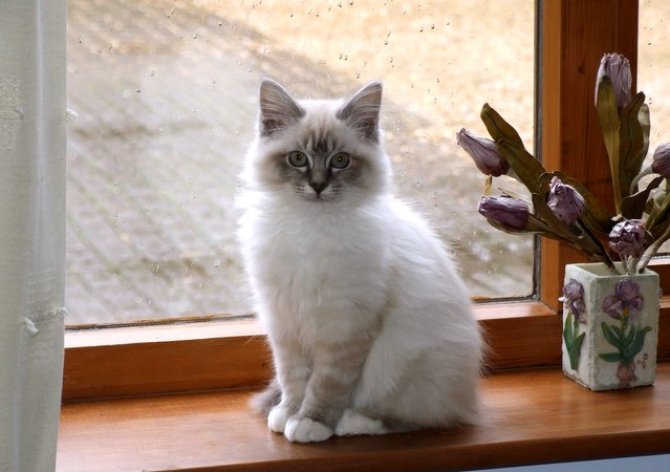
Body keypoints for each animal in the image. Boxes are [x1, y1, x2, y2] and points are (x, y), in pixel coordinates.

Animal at [238, 79, 484, 444]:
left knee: (414, 417)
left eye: (341, 161)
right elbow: (293, 379)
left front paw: (311, 423)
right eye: (297, 159)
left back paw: (350, 422)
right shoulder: (285, 323)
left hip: (405, 361)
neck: (311, 227)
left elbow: (325, 386)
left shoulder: (345, 329)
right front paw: (287, 414)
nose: (318, 185)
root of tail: (470, 397)